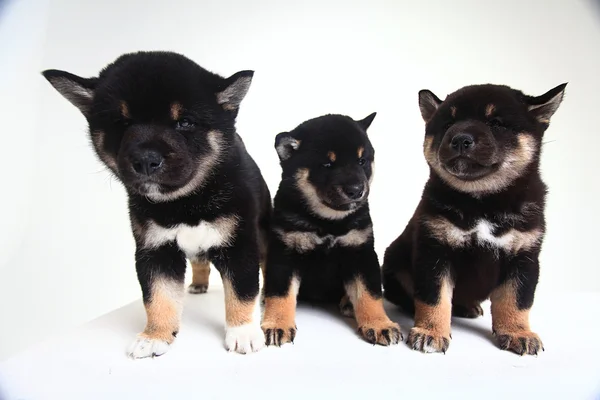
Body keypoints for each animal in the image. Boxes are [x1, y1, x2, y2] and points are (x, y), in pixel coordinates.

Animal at [43, 51, 274, 358]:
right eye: (121, 123)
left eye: (184, 122)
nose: (145, 160)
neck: (186, 202)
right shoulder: (155, 250)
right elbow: (158, 297)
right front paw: (155, 336)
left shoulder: (238, 244)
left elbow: (242, 291)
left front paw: (243, 332)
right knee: (199, 261)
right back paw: (198, 284)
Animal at [262, 112, 404, 346]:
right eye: (327, 164)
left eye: (361, 161)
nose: (356, 190)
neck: (328, 222)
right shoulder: (285, 253)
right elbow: (281, 293)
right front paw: (277, 324)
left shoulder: (361, 252)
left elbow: (370, 294)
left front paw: (379, 324)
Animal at [380, 83, 568, 354]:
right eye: (448, 123)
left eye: (496, 123)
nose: (460, 139)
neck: (483, 202)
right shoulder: (435, 251)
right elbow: (434, 298)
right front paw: (431, 332)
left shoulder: (524, 257)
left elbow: (517, 300)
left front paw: (518, 332)